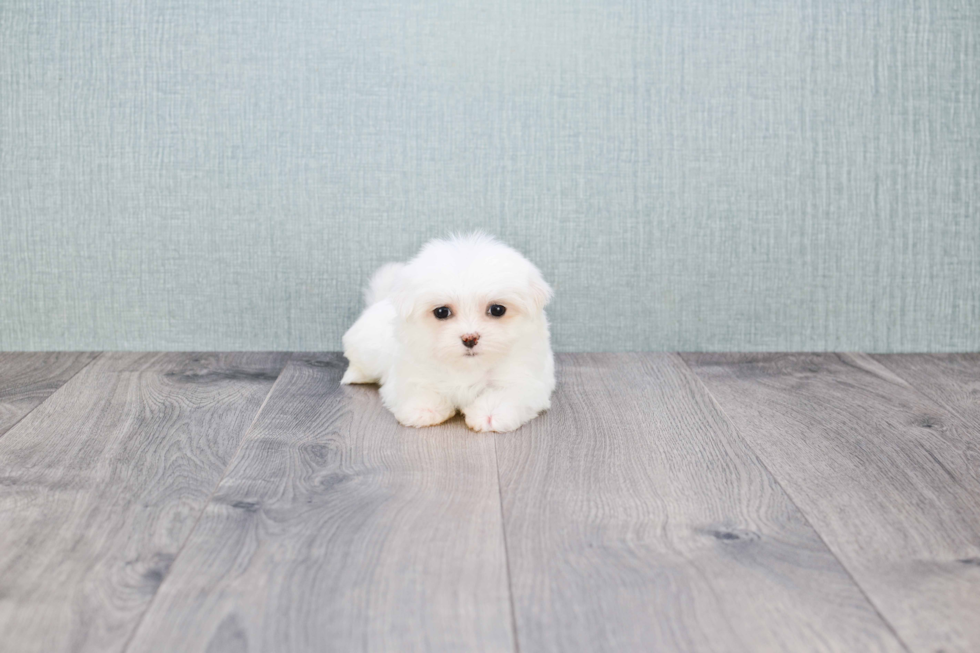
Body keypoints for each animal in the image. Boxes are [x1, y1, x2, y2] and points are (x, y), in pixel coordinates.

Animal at [342, 232, 556, 430]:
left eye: (497, 309)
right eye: (442, 312)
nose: (470, 338)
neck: (466, 367)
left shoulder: (525, 377)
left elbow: (507, 393)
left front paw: (491, 413)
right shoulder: (410, 370)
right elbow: (417, 388)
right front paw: (424, 409)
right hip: (367, 348)